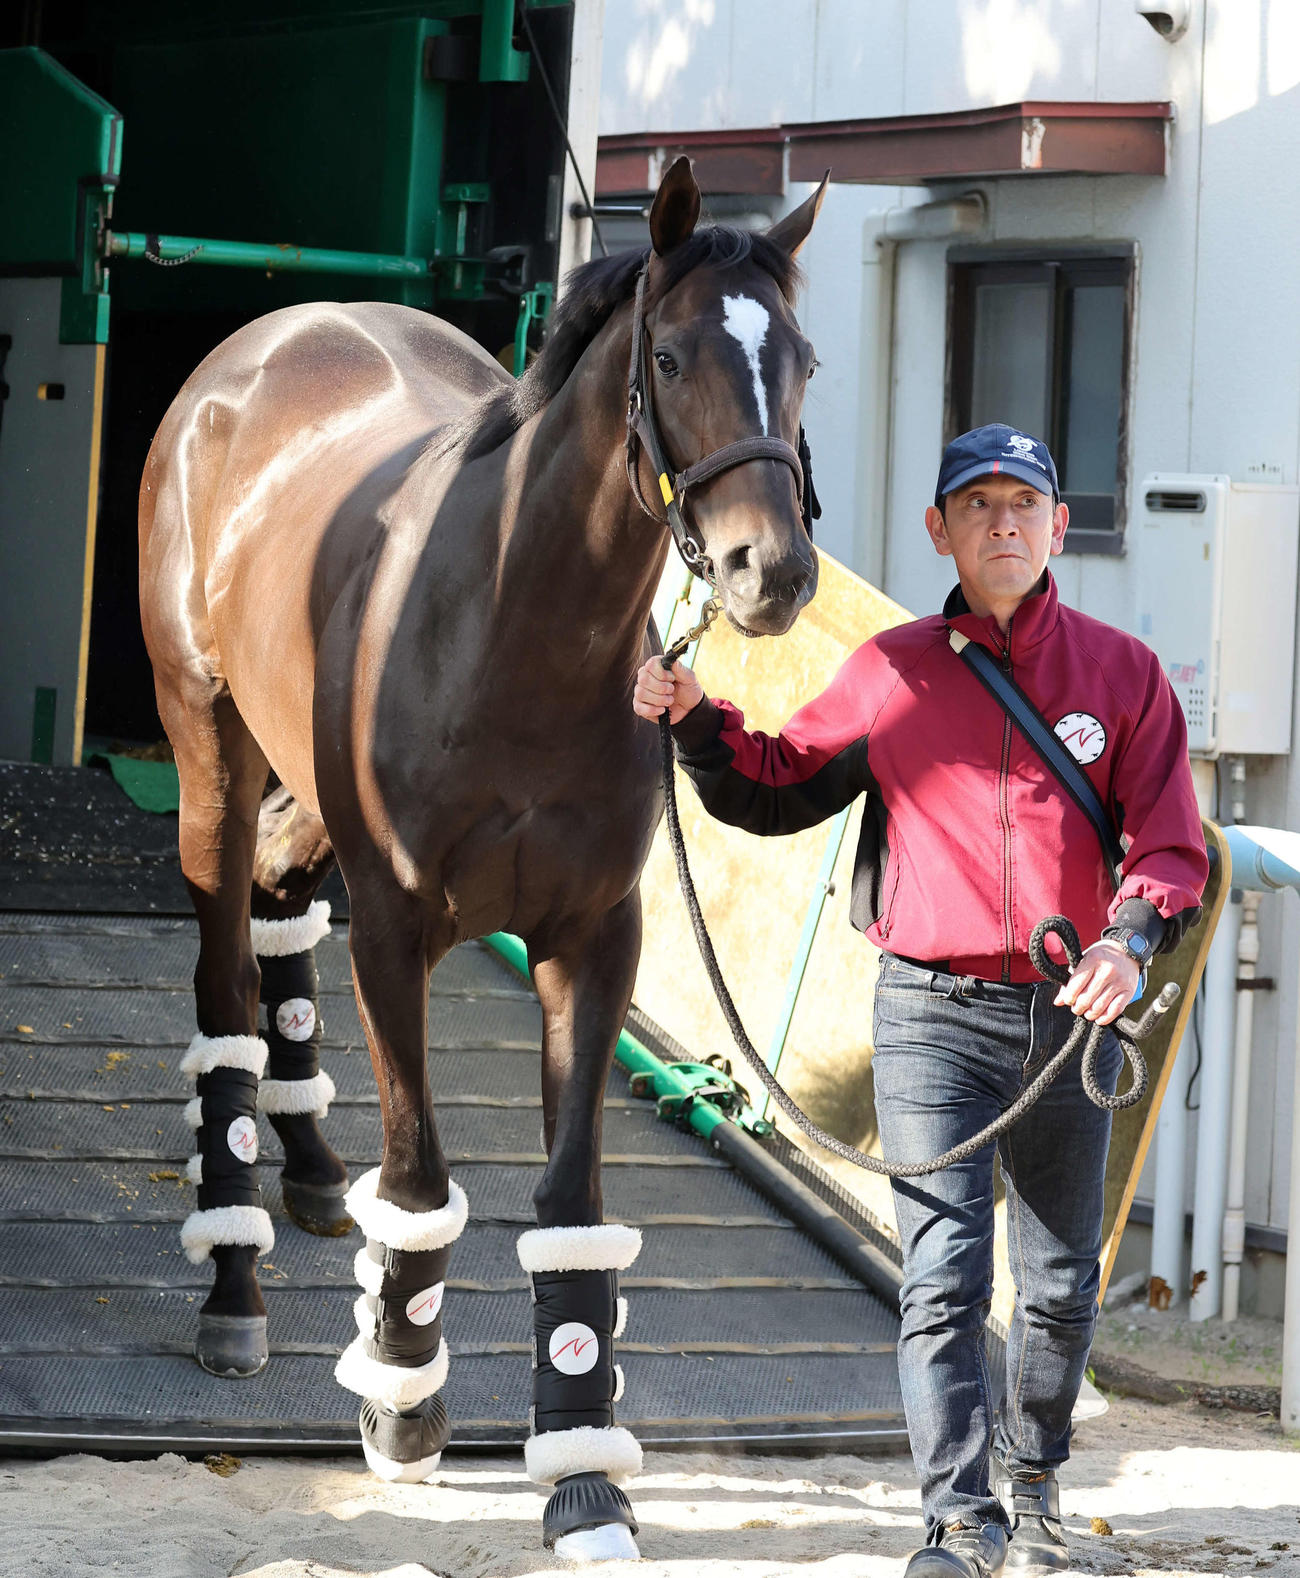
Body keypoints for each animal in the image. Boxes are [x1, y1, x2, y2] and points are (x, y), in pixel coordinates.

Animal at [138, 156, 824, 1561]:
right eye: (668, 355)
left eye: (804, 362)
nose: (768, 571)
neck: (518, 627)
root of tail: (271, 338)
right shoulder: (400, 927)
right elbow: (421, 1172)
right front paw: (401, 1394)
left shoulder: (594, 937)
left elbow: (567, 1210)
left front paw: (583, 1476)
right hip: (208, 744)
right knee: (226, 975)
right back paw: (235, 1278)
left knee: (282, 896)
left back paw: (307, 1174)